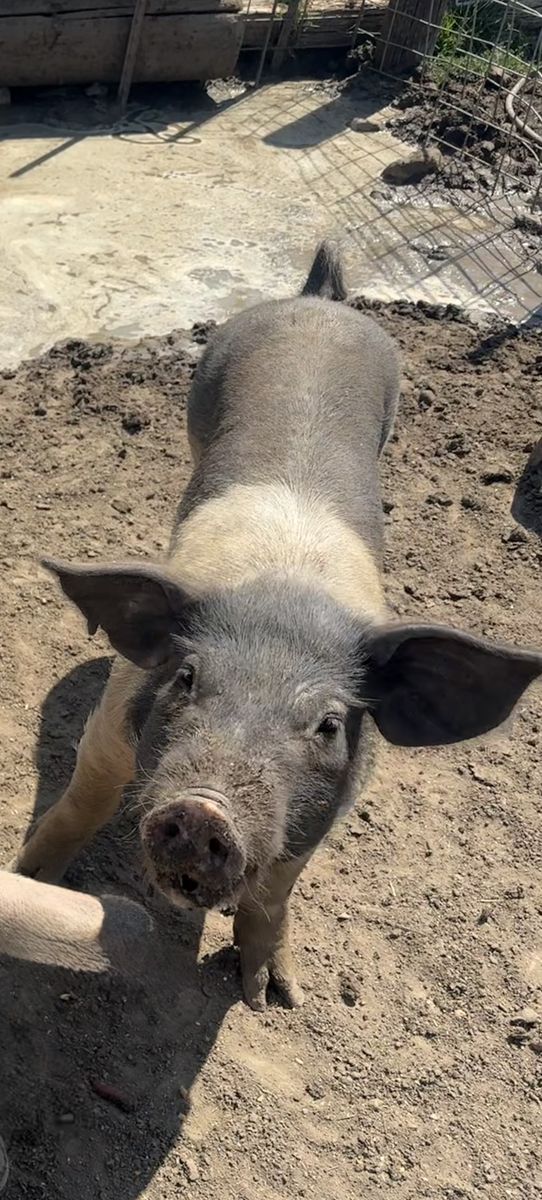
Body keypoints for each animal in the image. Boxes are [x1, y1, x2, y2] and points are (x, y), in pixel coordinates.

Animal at [11, 242, 542, 1010]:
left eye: (328, 723)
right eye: (186, 677)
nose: (206, 810)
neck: (283, 594)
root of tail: (318, 302)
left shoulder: (328, 806)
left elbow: (275, 894)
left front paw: (273, 997)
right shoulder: (110, 724)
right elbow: (80, 804)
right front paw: (27, 877)